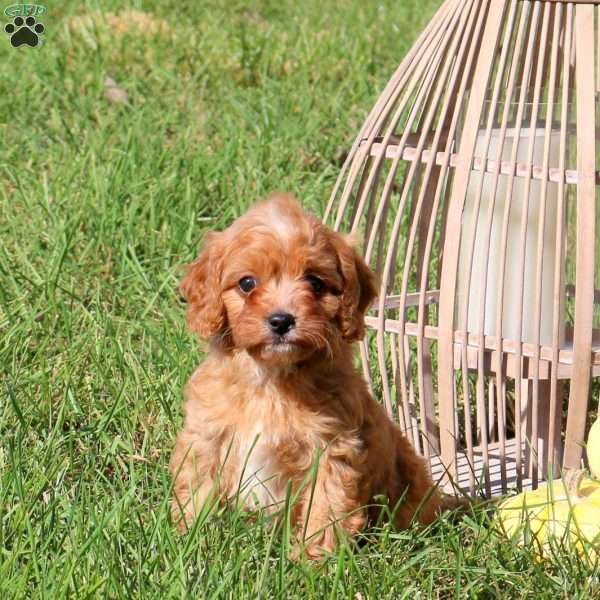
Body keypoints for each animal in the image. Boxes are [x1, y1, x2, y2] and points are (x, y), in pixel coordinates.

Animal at [169, 193, 440, 556]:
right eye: (246, 283)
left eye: (315, 282)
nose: (281, 320)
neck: (271, 380)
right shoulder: (208, 434)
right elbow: (198, 487)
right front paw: (189, 542)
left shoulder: (332, 448)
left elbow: (326, 508)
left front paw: (313, 561)